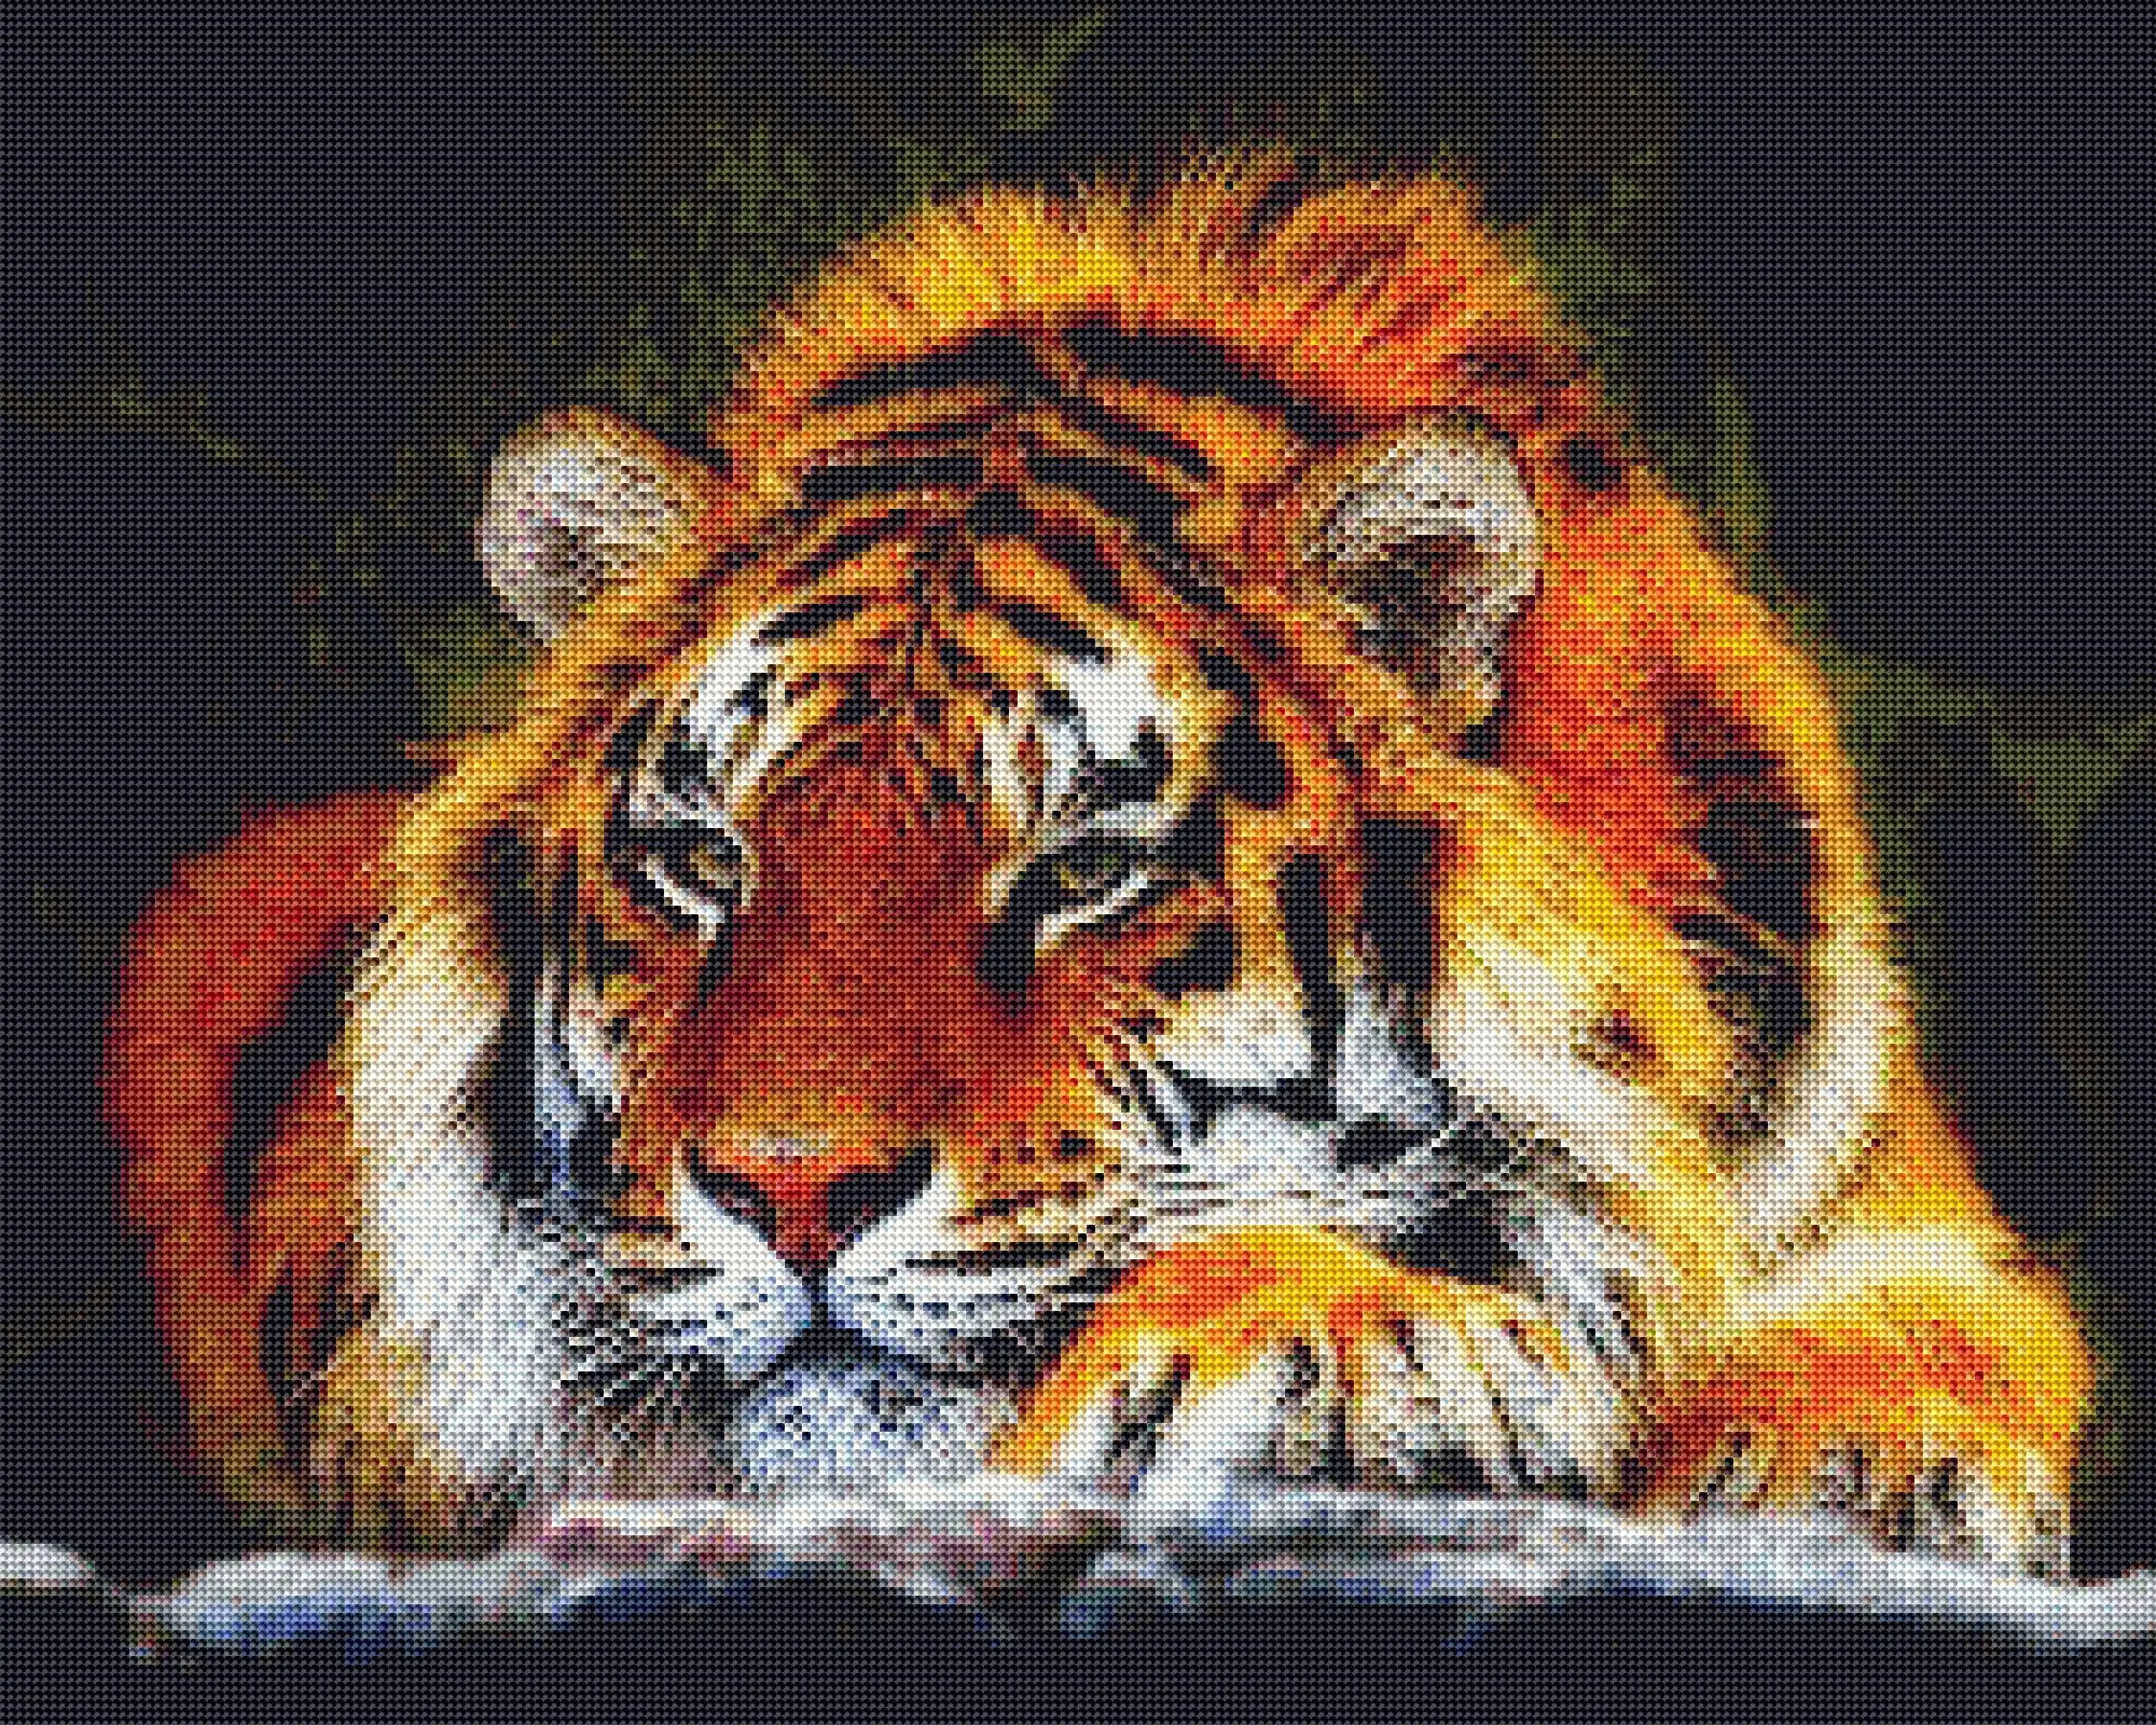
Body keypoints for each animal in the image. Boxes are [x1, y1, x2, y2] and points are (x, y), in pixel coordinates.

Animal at [106, 156, 2092, 1569]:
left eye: (1080, 869)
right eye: (702, 862)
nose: (789, 1196)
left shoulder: (1893, 1207)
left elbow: (1943, 1329)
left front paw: (1844, 1450)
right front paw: (1361, 1338)